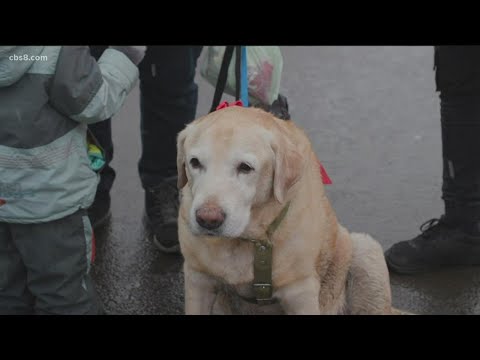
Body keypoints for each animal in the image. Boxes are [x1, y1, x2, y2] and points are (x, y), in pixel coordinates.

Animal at [176, 105, 394, 314]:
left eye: (245, 167)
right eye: (194, 162)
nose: (207, 219)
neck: (251, 240)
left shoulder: (301, 292)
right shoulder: (197, 279)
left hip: (365, 249)